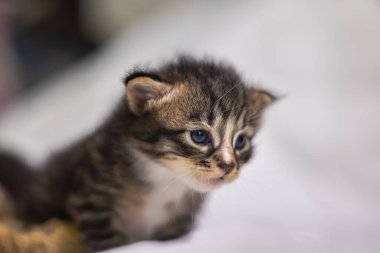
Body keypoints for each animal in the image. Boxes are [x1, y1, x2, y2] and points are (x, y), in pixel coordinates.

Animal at [0, 55, 274, 251]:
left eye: (240, 142)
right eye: (199, 136)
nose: (229, 166)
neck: (165, 178)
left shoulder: (181, 219)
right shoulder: (91, 199)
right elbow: (109, 243)